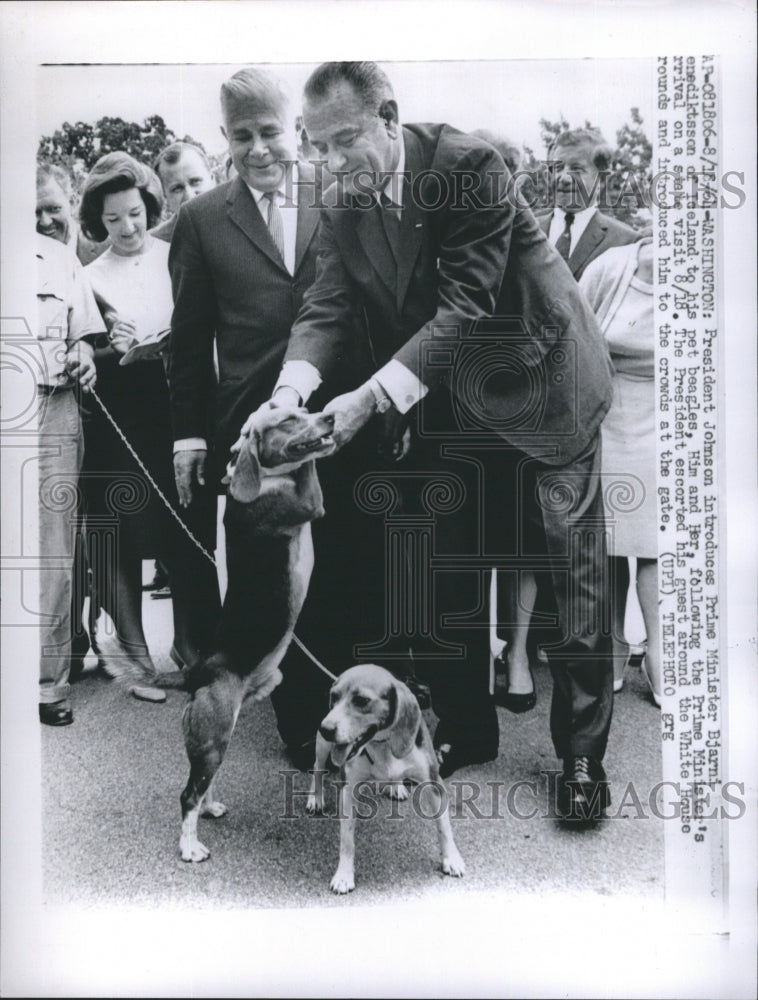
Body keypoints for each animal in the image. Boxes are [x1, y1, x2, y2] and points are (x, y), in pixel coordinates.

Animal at [157, 402, 336, 864]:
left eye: (302, 407)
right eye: (287, 421)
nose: (329, 416)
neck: (267, 478)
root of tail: (200, 671)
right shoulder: (309, 503)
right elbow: (309, 470)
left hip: (213, 741)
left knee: (200, 789)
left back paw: (210, 808)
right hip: (214, 737)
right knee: (187, 796)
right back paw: (190, 846)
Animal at [308, 668, 464, 896]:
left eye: (362, 700)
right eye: (334, 697)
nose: (326, 728)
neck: (382, 743)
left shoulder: (433, 781)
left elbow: (444, 827)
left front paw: (451, 859)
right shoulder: (347, 790)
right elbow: (347, 841)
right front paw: (344, 876)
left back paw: (396, 786)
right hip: (322, 746)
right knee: (317, 767)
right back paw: (315, 798)